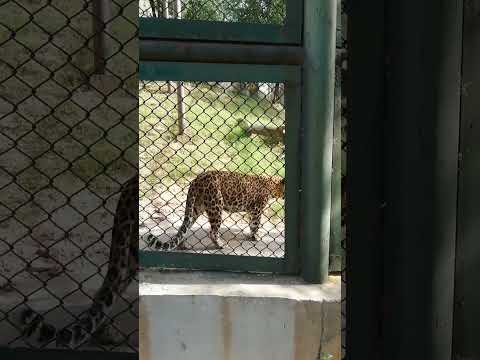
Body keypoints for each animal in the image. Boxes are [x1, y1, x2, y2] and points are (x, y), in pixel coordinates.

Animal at [144, 171, 284, 250]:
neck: (273, 185)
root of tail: (196, 180)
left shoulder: (251, 210)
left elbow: (251, 223)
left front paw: (252, 235)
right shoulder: (257, 209)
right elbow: (255, 223)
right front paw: (256, 236)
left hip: (196, 208)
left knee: (184, 227)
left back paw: (182, 245)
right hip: (216, 206)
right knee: (212, 232)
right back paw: (220, 245)